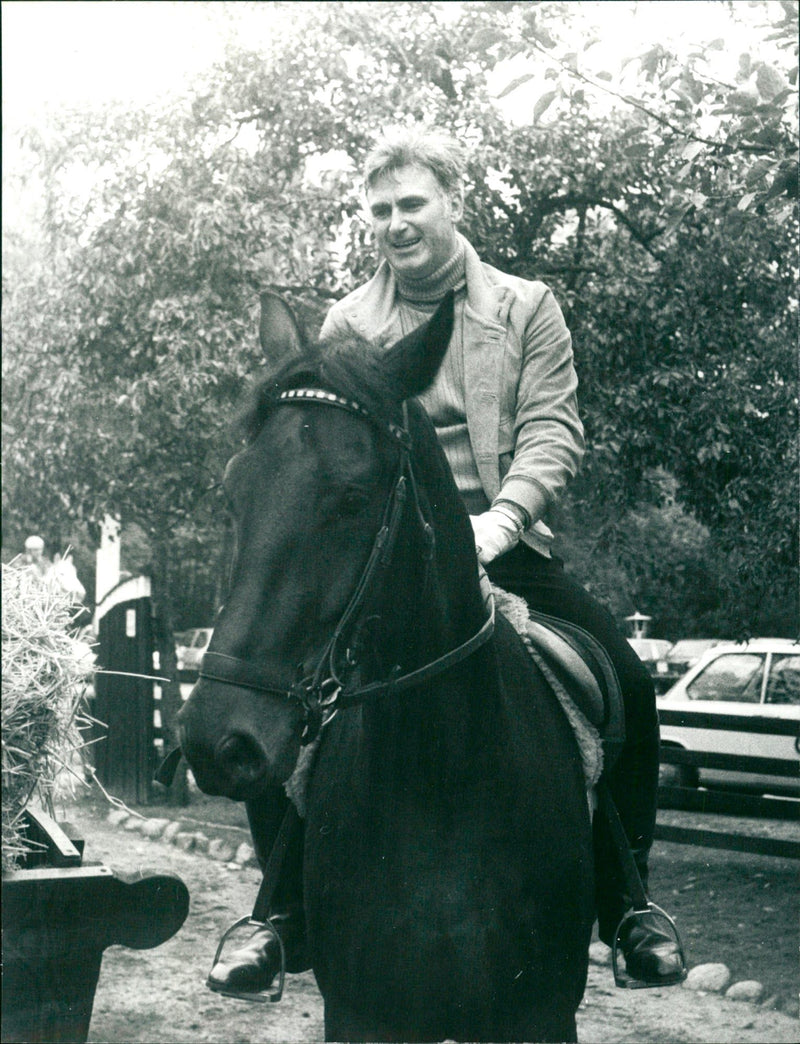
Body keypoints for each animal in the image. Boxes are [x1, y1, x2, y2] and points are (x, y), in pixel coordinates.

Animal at [179, 294, 593, 1044]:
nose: (217, 740)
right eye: (233, 492)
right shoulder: (365, 1014)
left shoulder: (540, 1013)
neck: (441, 781)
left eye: (352, 497)